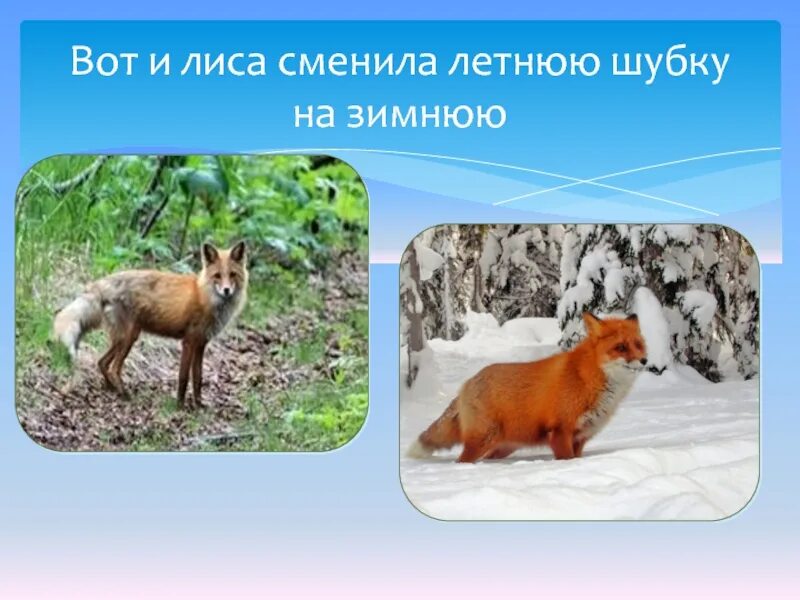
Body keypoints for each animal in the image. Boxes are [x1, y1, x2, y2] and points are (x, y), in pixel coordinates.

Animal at [53, 241, 248, 409]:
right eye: (217, 276)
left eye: (232, 275)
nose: (227, 291)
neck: (206, 297)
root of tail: (102, 283)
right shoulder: (189, 342)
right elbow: (183, 378)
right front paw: (179, 406)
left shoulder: (201, 344)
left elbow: (198, 379)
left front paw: (199, 406)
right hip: (128, 337)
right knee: (114, 367)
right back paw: (124, 393)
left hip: (125, 338)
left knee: (102, 362)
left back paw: (112, 388)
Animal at [408, 312, 648, 463]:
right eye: (621, 347)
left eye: (638, 345)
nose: (645, 361)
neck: (587, 378)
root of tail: (467, 383)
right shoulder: (560, 431)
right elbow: (566, 459)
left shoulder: (580, 438)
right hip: (482, 440)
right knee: (461, 461)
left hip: (502, 447)